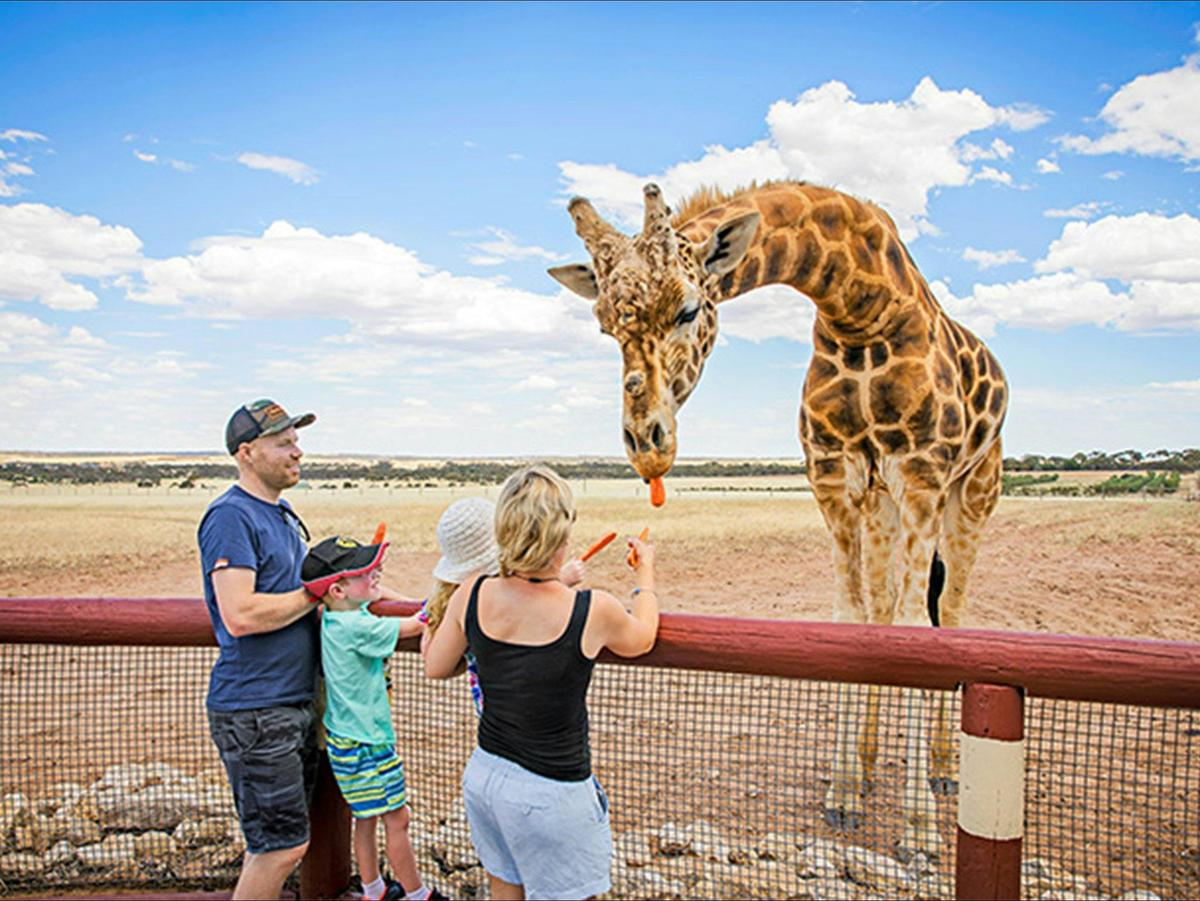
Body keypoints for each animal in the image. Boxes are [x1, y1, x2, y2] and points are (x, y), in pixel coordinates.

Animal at [549, 180, 1008, 856]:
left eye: (689, 309)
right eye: (605, 324)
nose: (647, 445)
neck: (860, 311)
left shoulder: (922, 474)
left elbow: (916, 632)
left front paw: (921, 829)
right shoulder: (836, 478)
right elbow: (854, 620)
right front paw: (844, 793)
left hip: (973, 488)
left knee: (947, 612)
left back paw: (946, 770)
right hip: (883, 505)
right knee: (882, 606)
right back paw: (869, 763)